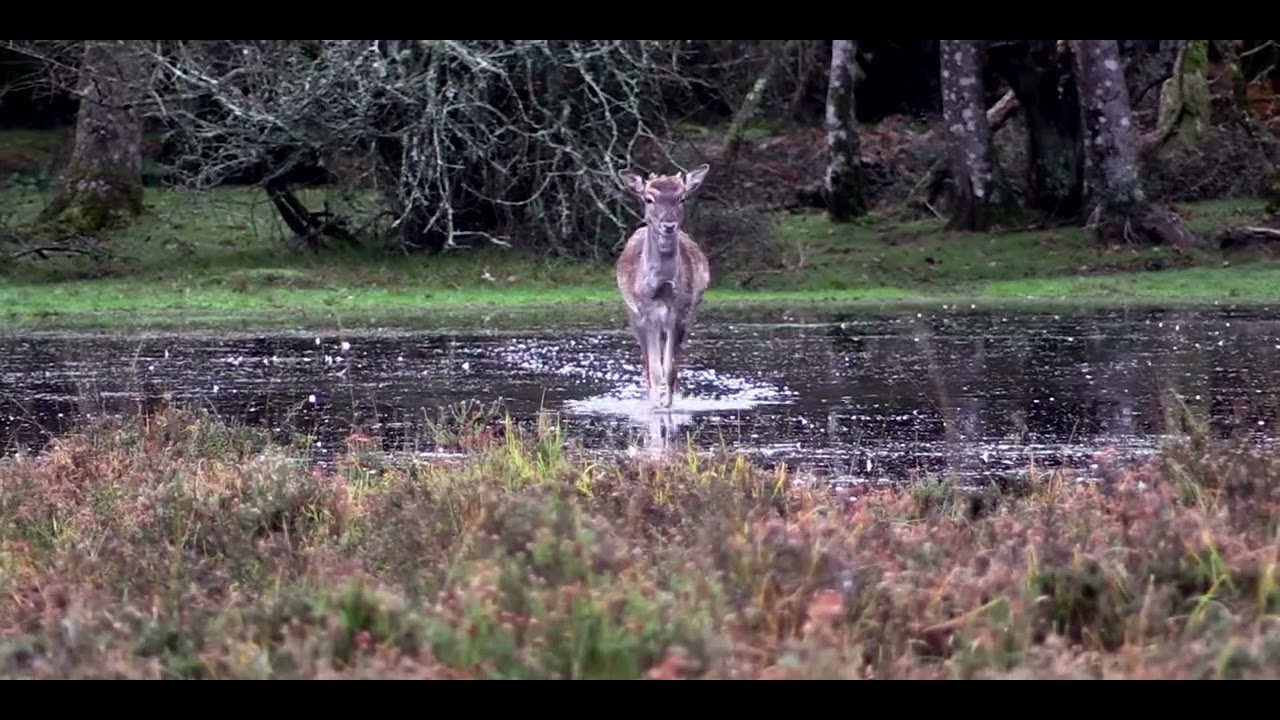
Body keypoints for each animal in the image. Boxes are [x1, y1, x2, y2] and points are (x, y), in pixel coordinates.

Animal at [615, 163, 712, 409]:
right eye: (649, 198)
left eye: (682, 198)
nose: (668, 225)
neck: (663, 290)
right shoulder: (645, 315)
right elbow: (654, 370)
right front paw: (655, 404)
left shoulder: (681, 315)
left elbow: (670, 369)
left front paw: (669, 404)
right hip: (632, 315)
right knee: (645, 364)